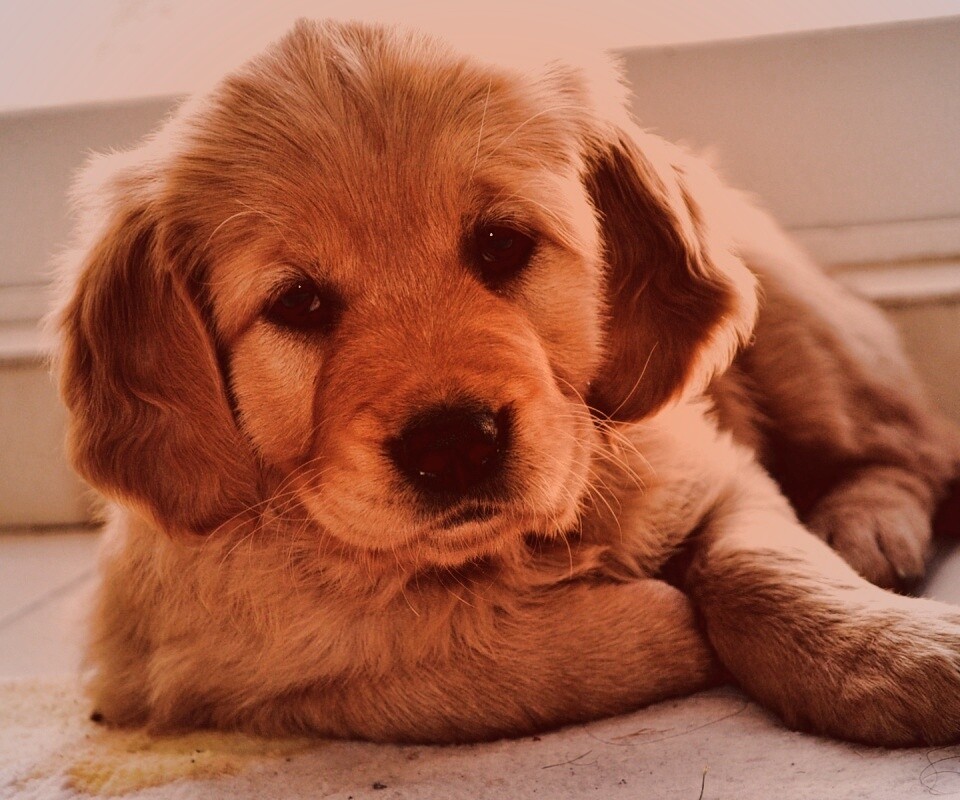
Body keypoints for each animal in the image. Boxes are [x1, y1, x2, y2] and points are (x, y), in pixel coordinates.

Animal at [54, 19, 960, 746]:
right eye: (298, 302)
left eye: (500, 243)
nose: (454, 445)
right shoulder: (209, 655)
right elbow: (449, 652)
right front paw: (661, 622)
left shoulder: (715, 473)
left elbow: (762, 567)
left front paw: (895, 655)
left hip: (801, 328)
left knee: (912, 443)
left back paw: (868, 527)